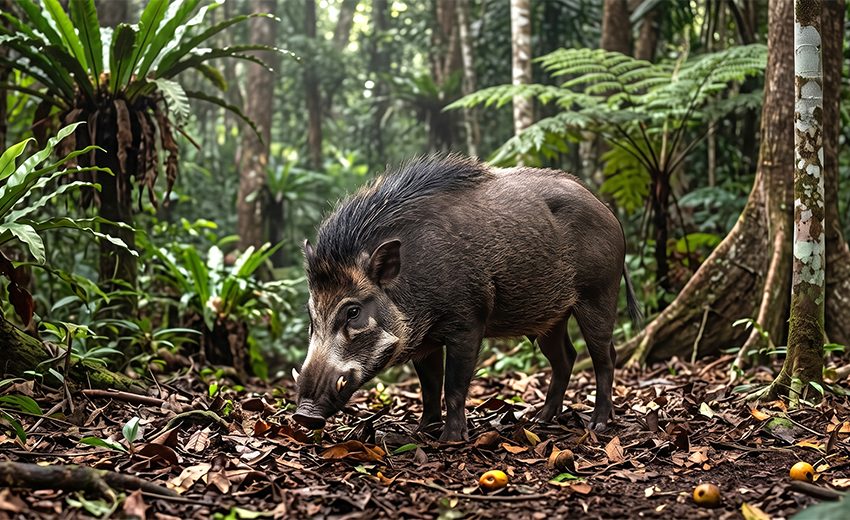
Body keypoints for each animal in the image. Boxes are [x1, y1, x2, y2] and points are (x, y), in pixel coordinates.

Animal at [293, 155, 641, 441]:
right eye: (311, 313)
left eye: (353, 311)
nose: (303, 415)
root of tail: (607, 209)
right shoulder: (425, 341)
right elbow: (429, 386)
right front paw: (423, 431)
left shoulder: (468, 322)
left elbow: (453, 386)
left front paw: (450, 440)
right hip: (551, 318)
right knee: (566, 358)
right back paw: (540, 421)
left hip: (599, 294)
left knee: (605, 357)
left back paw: (598, 424)